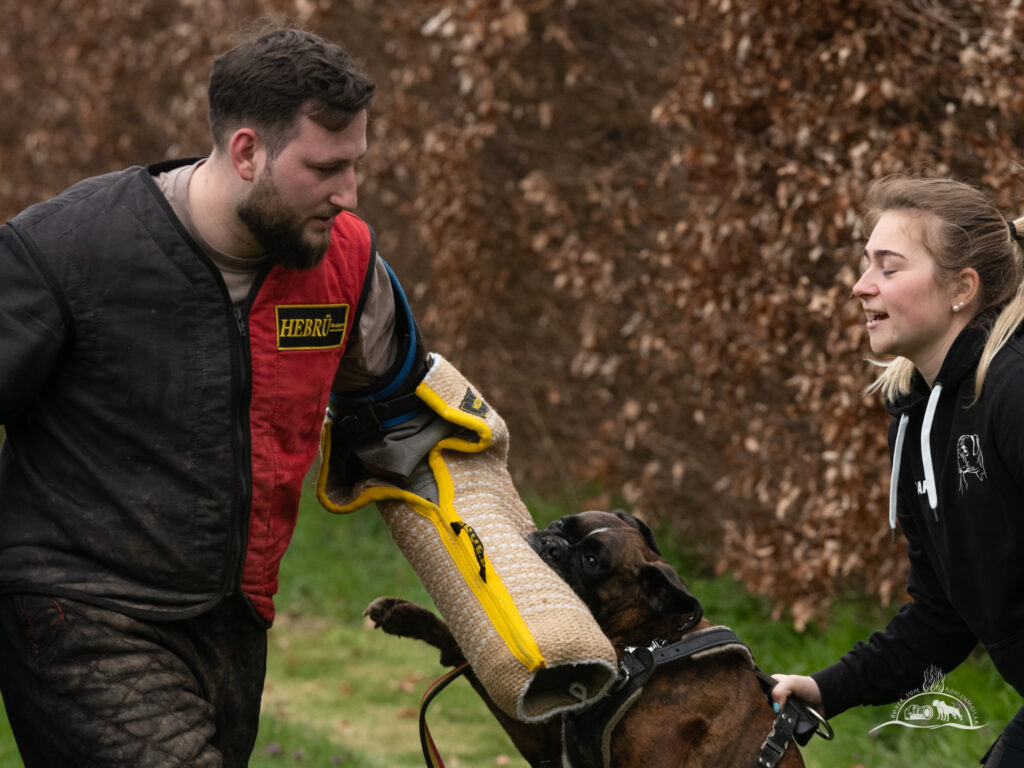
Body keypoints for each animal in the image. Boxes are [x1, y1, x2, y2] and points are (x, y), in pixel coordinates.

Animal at [364, 512, 802, 768]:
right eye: (562, 524)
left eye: (592, 561)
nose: (550, 541)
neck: (648, 644)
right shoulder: (547, 745)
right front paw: (406, 617)